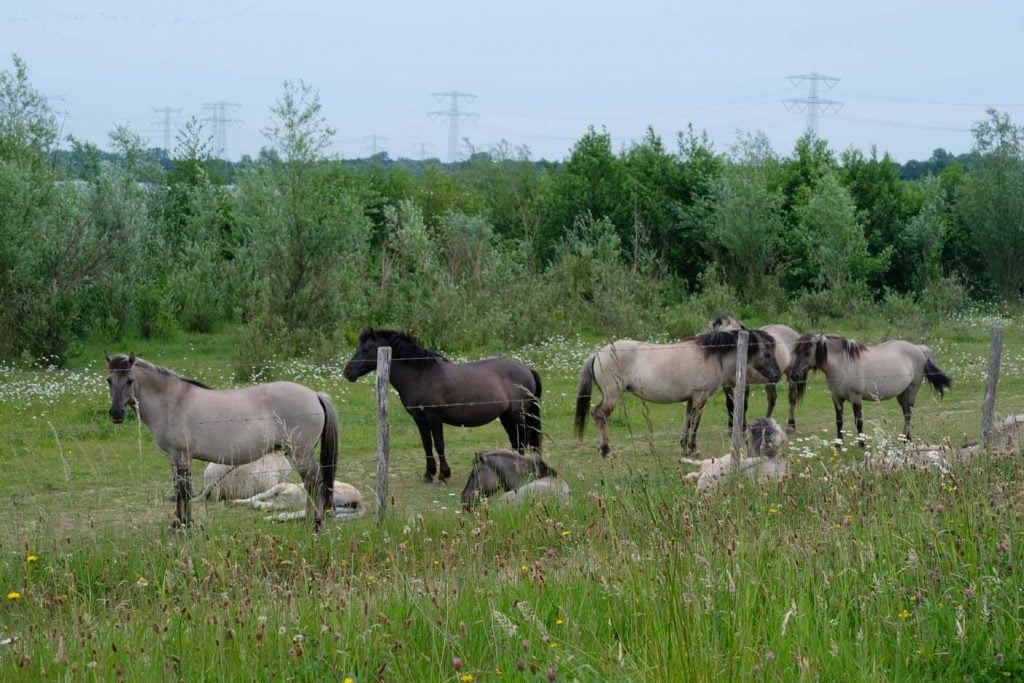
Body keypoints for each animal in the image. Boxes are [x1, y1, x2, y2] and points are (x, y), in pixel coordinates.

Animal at [103, 356, 337, 532]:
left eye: (130, 380)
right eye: (109, 380)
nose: (116, 414)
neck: (172, 401)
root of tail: (315, 395)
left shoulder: (181, 456)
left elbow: (183, 491)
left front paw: (183, 525)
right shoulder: (175, 458)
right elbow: (181, 489)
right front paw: (181, 523)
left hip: (301, 454)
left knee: (314, 482)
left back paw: (314, 524)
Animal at [342, 327, 544, 483]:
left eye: (367, 348)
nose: (347, 372)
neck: (421, 375)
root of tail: (527, 368)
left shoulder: (434, 417)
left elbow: (439, 445)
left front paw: (442, 476)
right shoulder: (419, 419)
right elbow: (427, 445)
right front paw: (428, 474)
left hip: (518, 414)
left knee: (522, 438)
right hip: (506, 416)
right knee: (516, 440)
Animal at [573, 327, 778, 456]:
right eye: (767, 353)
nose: (775, 376)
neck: (711, 355)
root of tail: (598, 353)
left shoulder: (691, 399)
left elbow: (687, 422)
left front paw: (684, 448)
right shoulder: (700, 397)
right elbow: (695, 423)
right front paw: (693, 449)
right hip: (612, 396)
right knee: (600, 415)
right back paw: (606, 451)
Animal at [786, 333, 954, 446]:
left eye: (807, 352)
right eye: (796, 352)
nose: (794, 375)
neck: (843, 364)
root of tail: (919, 349)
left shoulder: (856, 398)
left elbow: (858, 421)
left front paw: (862, 444)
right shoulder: (836, 398)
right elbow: (839, 421)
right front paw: (838, 445)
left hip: (912, 390)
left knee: (908, 414)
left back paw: (906, 439)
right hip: (901, 394)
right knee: (906, 412)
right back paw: (905, 438)